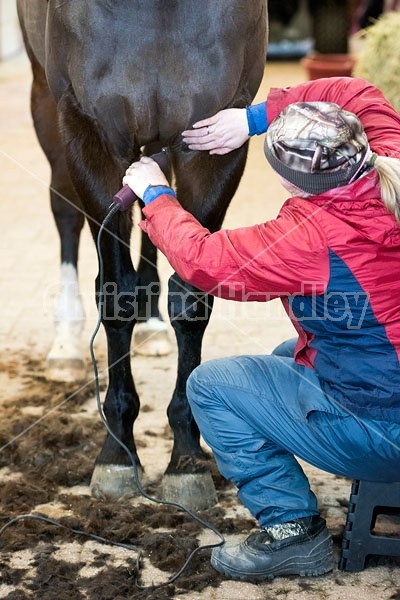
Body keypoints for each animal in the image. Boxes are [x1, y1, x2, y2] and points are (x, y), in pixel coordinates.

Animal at [18, 1, 268, 510]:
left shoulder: (216, 136)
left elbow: (191, 301)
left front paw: (187, 461)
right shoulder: (89, 129)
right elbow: (115, 295)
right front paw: (116, 454)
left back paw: (152, 323)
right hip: (44, 99)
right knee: (64, 210)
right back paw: (65, 345)